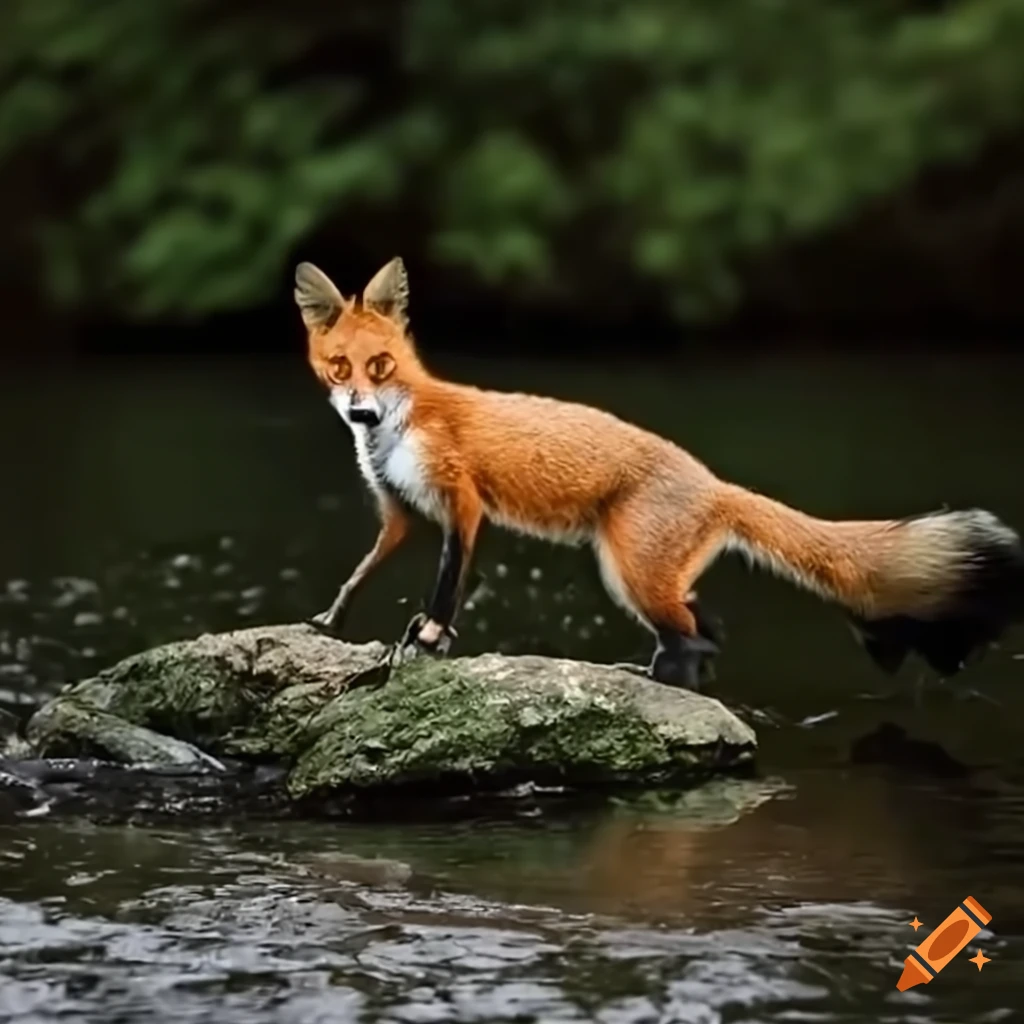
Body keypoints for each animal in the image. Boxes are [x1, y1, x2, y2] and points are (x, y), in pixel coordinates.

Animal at [294, 256, 1024, 689]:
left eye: (382, 366)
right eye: (340, 368)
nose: (361, 412)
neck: (397, 430)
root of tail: (715, 482)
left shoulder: (462, 505)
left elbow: (446, 588)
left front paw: (430, 639)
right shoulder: (400, 515)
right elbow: (359, 575)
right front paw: (329, 621)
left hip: (630, 574)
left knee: (700, 639)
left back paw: (660, 679)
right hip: (641, 578)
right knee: (709, 630)